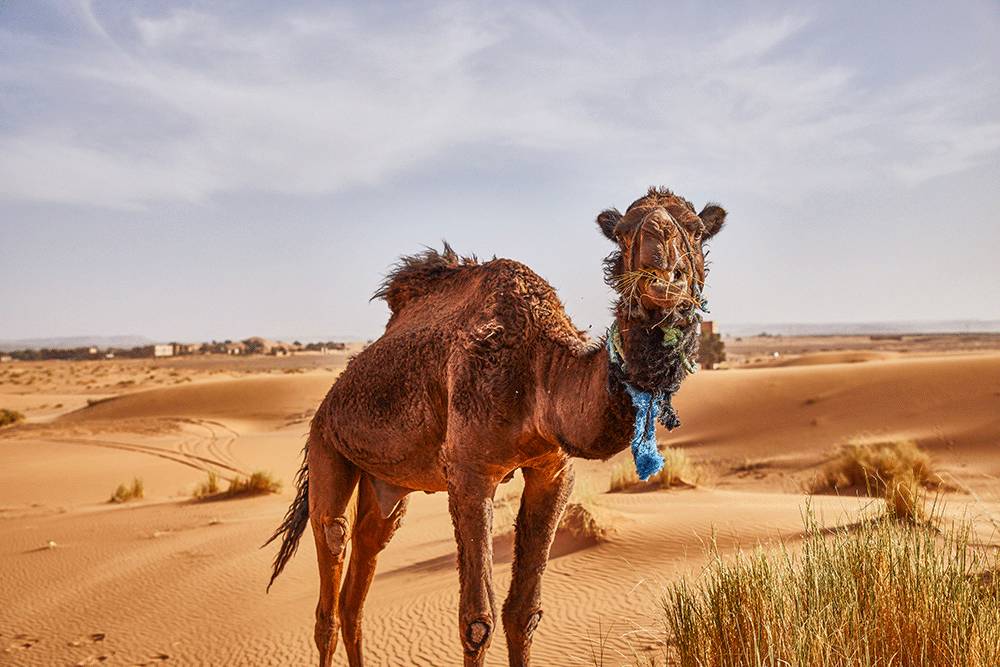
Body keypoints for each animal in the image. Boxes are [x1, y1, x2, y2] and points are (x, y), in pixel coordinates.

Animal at [266, 188, 728, 667]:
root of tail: (329, 400)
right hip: (326, 445)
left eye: (696, 230)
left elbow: (523, 613)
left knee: (358, 585)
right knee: (331, 570)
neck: (541, 370)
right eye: (621, 233)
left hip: (386, 485)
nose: (662, 276)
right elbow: (476, 621)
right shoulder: (470, 471)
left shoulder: (552, 470)